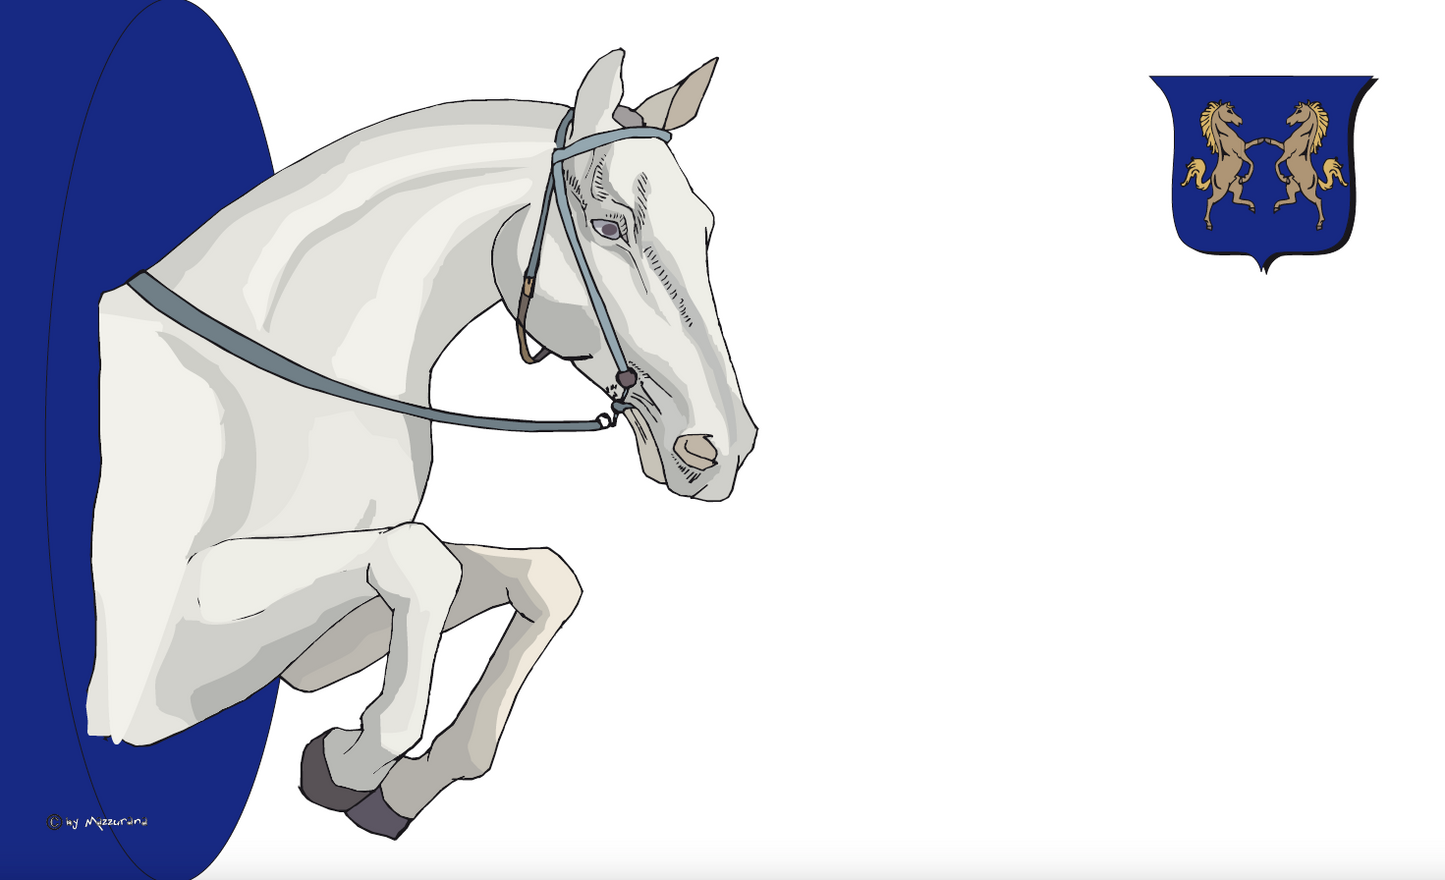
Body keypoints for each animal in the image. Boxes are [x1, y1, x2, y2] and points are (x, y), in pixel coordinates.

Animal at [84, 48, 756, 839]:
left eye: (704, 228)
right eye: (609, 225)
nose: (720, 449)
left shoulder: (305, 654)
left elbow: (539, 576)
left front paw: (401, 780)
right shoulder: (146, 681)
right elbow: (424, 561)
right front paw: (353, 760)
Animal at [1179, 101, 1280, 231]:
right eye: (1228, 111)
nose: (1240, 121)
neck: (1225, 136)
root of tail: (1212, 177)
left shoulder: (1244, 146)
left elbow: (1252, 143)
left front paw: (1264, 139)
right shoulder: (1241, 153)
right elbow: (1251, 162)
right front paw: (1247, 175)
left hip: (1236, 187)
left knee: (1235, 200)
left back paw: (1251, 205)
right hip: (1221, 191)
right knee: (1210, 200)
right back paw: (1208, 224)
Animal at [1272, 101, 1349, 230]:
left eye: (1299, 111)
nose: (1288, 120)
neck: (1302, 137)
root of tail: (1316, 178)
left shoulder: (1287, 153)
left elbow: (1277, 162)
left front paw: (1281, 175)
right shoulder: (1283, 146)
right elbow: (1273, 142)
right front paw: (1262, 139)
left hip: (1307, 191)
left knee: (1318, 200)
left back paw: (1319, 224)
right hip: (1292, 186)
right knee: (1293, 200)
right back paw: (1276, 206)